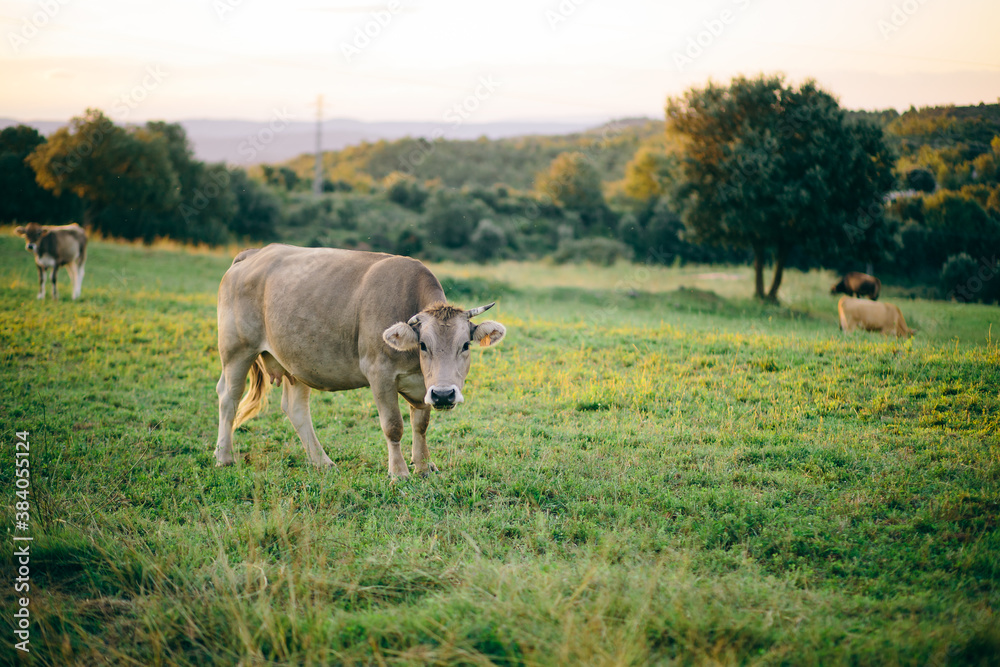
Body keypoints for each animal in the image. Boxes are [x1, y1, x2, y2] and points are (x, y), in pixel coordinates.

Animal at [213, 244, 507, 478]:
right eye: (424, 345)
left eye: (465, 345)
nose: (444, 395)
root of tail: (254, 254)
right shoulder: (379, 374)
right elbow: (394, 426)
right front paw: (399, 472)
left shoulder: (423, 385)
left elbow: (420, 425)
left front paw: (424, 466)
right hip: (236, 350)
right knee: (229, 397)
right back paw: (224, 457)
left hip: (295, 361)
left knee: (295, 409)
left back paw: (321, 462)